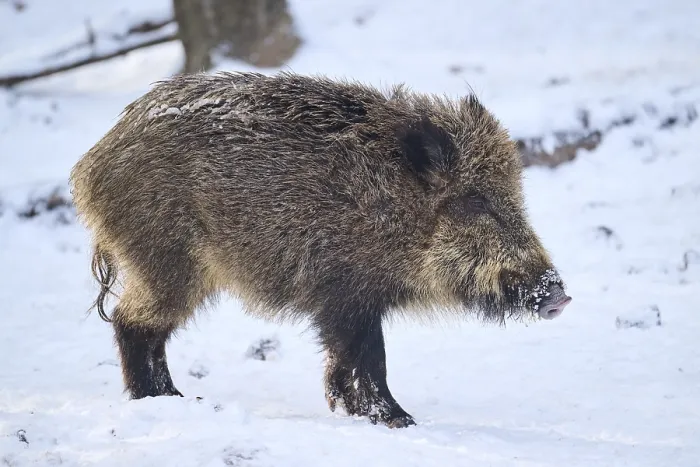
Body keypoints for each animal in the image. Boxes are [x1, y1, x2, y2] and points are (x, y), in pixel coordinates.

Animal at [70, 71, 571, 428]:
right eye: (475, 202)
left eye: (516, 197)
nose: (560, 296)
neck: (397, 212)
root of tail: (91, 164)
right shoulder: (346, 292)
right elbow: (371, 358)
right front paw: (400, 421)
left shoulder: (351, 300)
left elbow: (349, 359)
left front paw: (354, 412)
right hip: (167, 261)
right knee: (131, 323)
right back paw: (168, 400)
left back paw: (177, 398)